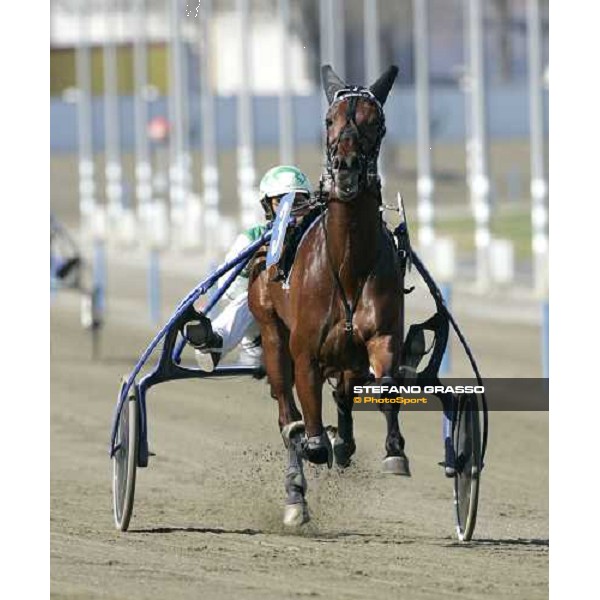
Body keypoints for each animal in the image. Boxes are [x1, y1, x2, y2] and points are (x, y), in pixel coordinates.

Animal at [247, 64, 408, 524]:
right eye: (328, 120)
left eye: (376, 121)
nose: (348, 169)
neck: (347, 265)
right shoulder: (305, 350)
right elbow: (307, 427)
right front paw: (314, 446)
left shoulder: (382, 336)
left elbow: (386, 384)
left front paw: (393, 451)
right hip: (271, 330)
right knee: (287, 412)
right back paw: (296, 489)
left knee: (343, 393)